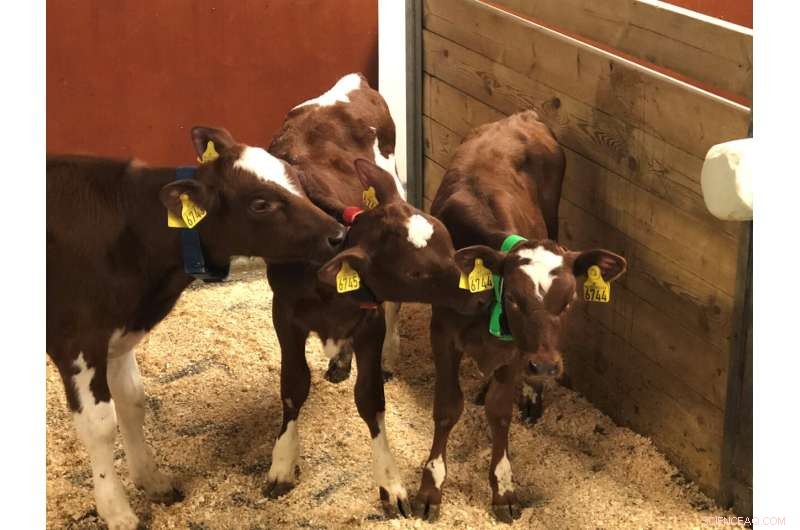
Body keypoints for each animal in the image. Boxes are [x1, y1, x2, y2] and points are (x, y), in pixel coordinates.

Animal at [46, 127, 346, 530]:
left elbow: (132, 403)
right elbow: (100, 424)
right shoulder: (77, 341)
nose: (337, 234)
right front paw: (117, 511)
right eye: (260, 204)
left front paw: (152, 480)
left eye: (295, 178)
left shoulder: (119, 334)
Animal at [263, 73, 491, 517]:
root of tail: (350, 83)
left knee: (393, 309)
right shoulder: (284, 314)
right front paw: (282, 463)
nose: (480, 295)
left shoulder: (367, 321)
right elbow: (293, 385)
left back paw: (386, 356)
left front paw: (391, 483)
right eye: (414, 271)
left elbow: (370, 399)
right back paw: (339, 359)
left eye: (449, 243)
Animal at [412, 111, 627, 523]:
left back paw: (529, 395)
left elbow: (500, 413)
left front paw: (503, 487)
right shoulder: (441, 332)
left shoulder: (516, 350)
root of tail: (520, 117)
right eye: (512, 298)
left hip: (553, 213)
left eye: (569, 301)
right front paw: (430, 488)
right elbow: (446, 407)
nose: (544, 366)